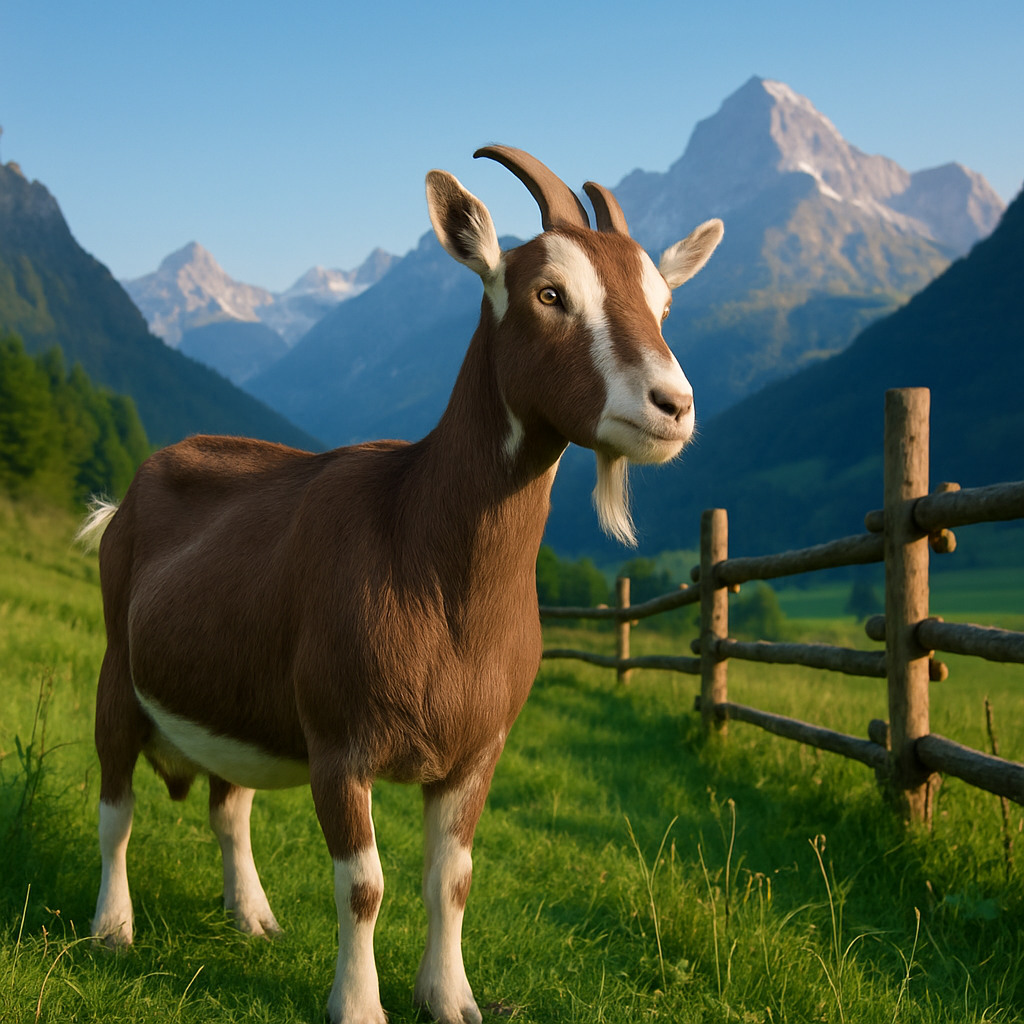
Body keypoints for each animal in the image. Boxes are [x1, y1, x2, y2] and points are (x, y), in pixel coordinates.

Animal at [79, 146, 723, 1024]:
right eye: (550, 294)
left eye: (664, 301)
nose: (674, 405)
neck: (421, 549)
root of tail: (134, 491)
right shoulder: (339, 744)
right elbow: (364, 887)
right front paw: (357, 1005)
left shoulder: (476, 752)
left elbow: (451, 880)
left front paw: (449, 997)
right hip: (118, 668)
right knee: (115, 806)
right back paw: (113, 927)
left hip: (236, 701)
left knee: (229, 808)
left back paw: (252, 916)